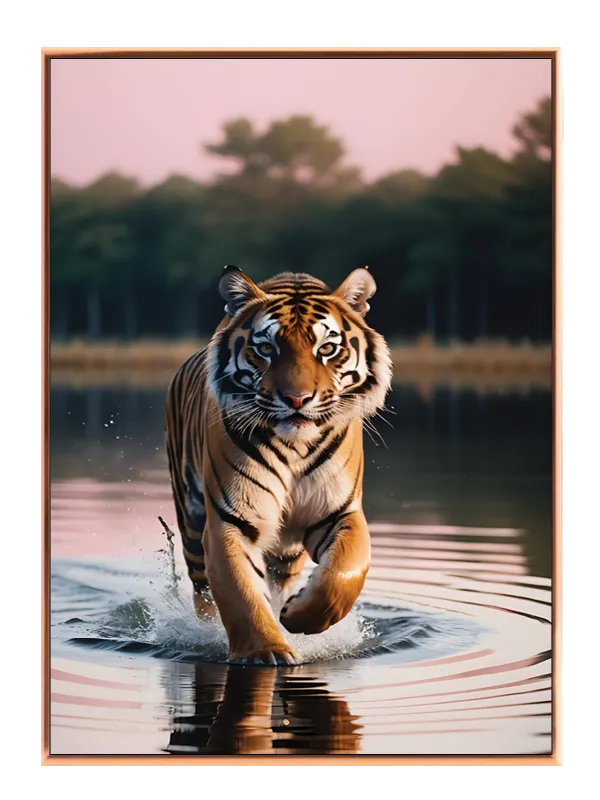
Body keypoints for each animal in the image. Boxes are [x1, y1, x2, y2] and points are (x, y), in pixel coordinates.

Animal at [164, 265, 392, 665]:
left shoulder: (340, 512)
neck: (294, 447)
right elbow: (240, 592)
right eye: (266, 349)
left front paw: (298, 616)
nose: (297, 399)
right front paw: (265, 651)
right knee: (203, 591)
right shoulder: (233, 519)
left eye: (327, 348)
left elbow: (345, 571)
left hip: (287, 551)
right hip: (191, 523)